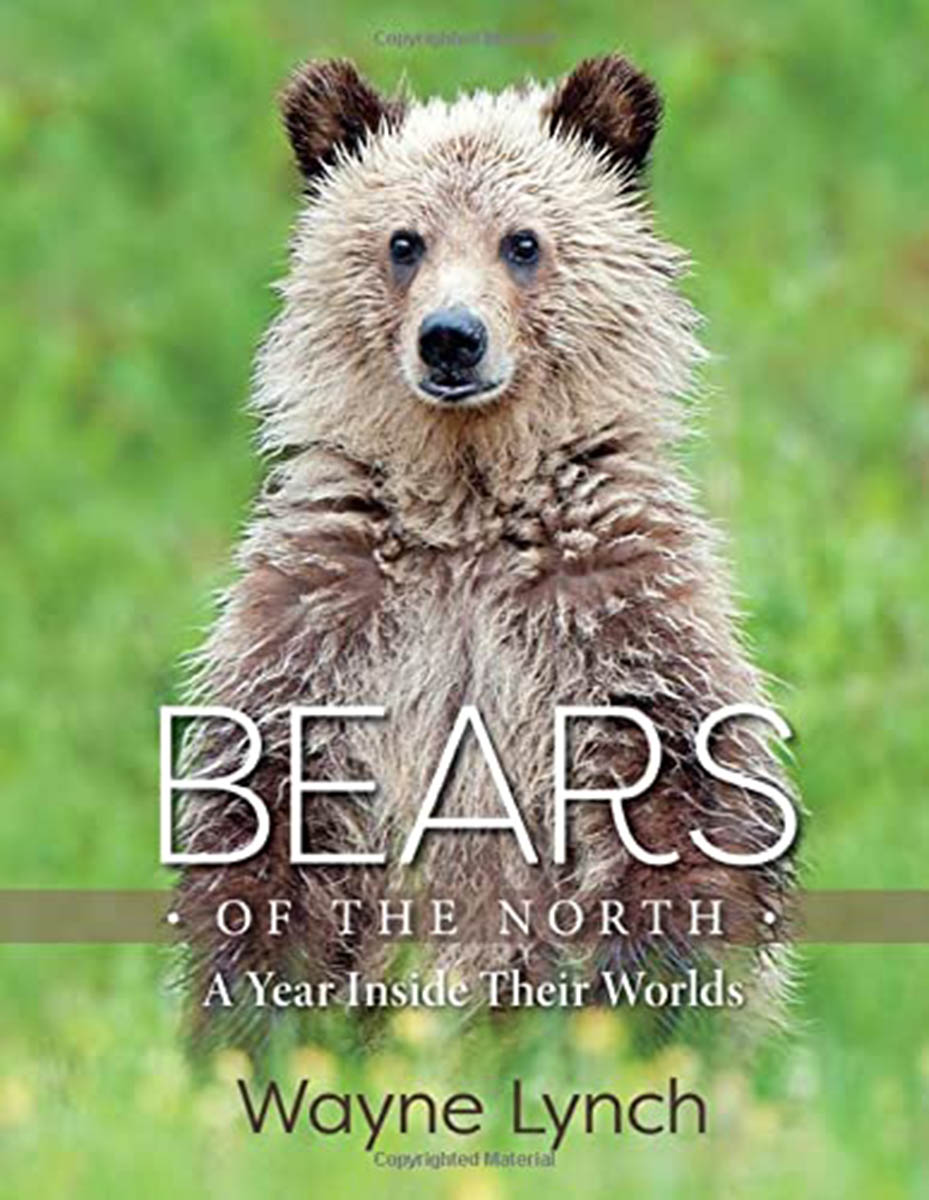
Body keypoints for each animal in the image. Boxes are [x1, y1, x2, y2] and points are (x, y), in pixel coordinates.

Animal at [173, 54, 797, 1049]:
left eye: (522, 241)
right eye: (404, 242)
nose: (451, 339)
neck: (467, 501)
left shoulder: (609, 604)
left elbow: (681, 800)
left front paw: (643, 1013)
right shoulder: (329, 612)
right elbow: (266, 816)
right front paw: (258, 1020)